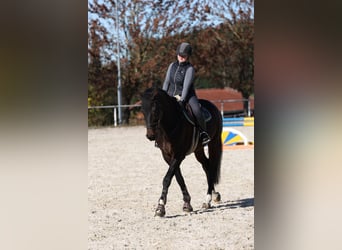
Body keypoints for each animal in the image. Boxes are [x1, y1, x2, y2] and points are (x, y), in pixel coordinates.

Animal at [140, 87, 223, 216]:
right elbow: (178, 178)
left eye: (155, 109)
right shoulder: (167, 156)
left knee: (211, 165)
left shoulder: (179, 155)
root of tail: (213, 106)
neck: (170, 125)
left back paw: (208, 199)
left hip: (213, 143)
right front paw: (187, 203)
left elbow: (167, 178)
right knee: (207, 166)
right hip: (198, 149)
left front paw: (160, 206)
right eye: (142, 109)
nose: (150, 136)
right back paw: (213, 196)